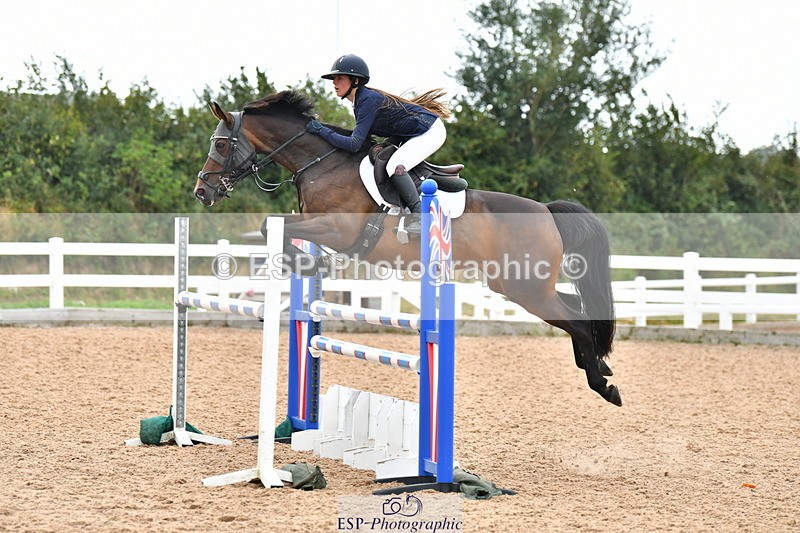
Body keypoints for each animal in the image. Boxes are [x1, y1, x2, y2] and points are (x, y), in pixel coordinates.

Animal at [194, 90, 621, 407]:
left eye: (221, 144)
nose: (202, 192)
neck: (320, 162)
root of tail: (547, 211)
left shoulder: (336, 228)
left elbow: (271, 225)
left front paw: (306, 263)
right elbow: (275, 226)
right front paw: (307, 264)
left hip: (526, 288)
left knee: (577, 320)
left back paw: (604, 386)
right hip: (517, 285)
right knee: (577, 308)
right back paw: (599, 366)